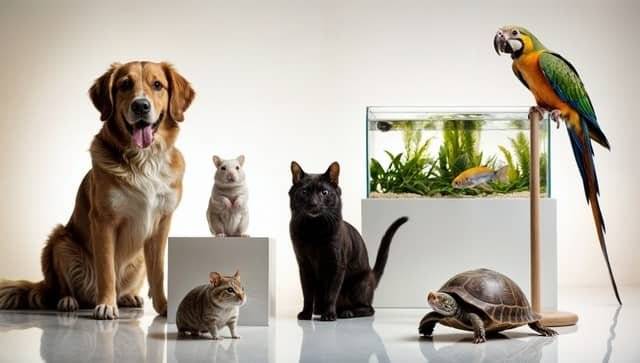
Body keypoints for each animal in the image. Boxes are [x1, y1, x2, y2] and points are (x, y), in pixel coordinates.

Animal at [0, 61, 195, 320]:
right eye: (125, 85)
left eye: (157, 85)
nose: (141, 106)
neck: (144, 160)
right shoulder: (103, 221)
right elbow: (107, 270)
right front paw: (106, 305)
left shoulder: (161, 224)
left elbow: (159, 272)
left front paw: (164, 306)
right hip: (59, 241)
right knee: (62, 287)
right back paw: (68, 301)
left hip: (138, 258)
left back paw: (127, 296)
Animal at [288, 162, 408, 322]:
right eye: (304, 192)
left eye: (324, 192)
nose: (313, 203)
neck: (314, 229)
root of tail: (372, 275)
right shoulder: (304, 265)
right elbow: (307, 293)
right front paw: (306, 314)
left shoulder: (337, 264)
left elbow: (331, 293)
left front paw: (329, 315)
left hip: (359, 284)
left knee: (369, 308)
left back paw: (346, 313)